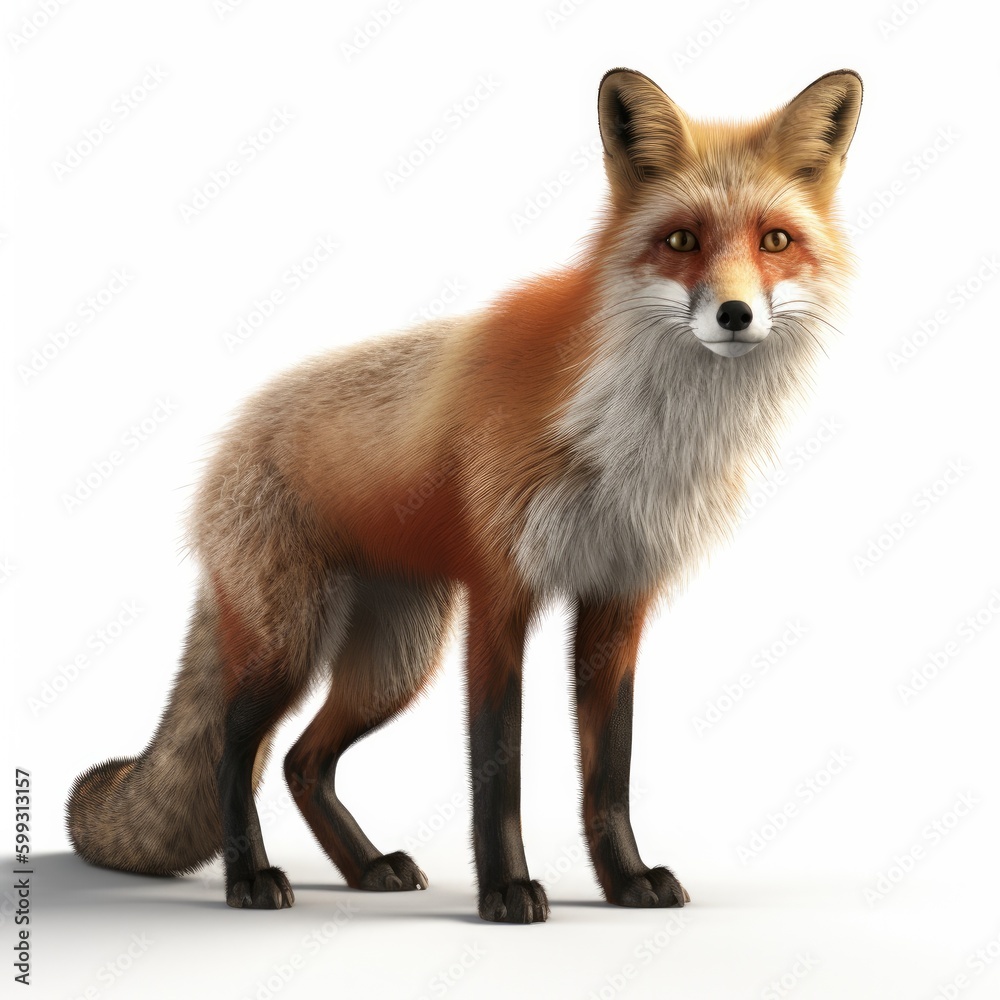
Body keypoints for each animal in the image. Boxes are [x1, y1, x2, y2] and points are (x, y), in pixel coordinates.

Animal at [67, 67, 862, 923]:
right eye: (681, 241)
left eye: (775, 240)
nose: (735, 314)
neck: (635, 435)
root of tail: (229, 440)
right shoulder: (499, 592)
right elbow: (498, 766)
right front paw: (506, 889)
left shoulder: (619, 598)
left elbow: (608, 774)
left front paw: (626, 882)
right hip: (296, 644)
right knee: (235, 747)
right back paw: (250, 878)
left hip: (393, 663)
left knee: (303, 762)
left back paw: (367, 866)